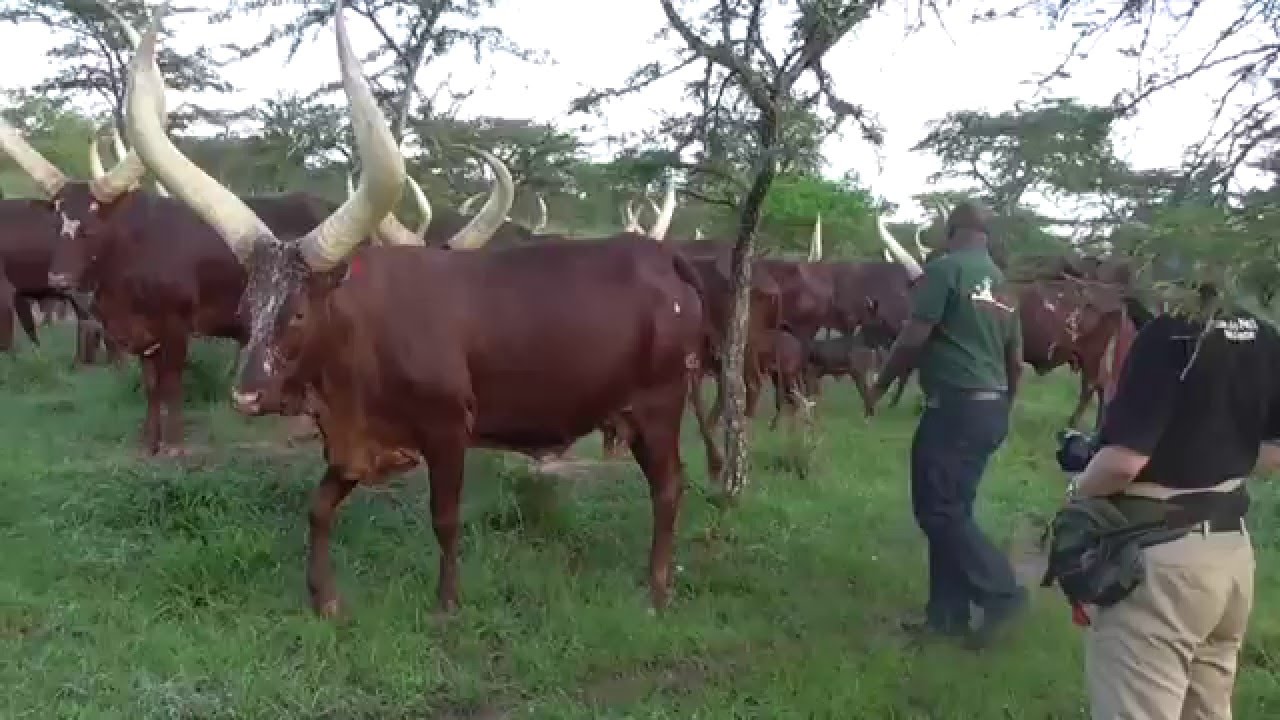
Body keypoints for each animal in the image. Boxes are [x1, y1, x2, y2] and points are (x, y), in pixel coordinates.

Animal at [126, 2, 718, 616]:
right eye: (248, 305)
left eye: (298, 312)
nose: (245, 395)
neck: (360, 337)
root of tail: (661, 257)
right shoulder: (354, 443)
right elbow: (318, 508)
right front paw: (324, 598)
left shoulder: (448, 430)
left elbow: (445, 518)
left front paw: (447, 605)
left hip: (658, 407)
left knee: (668, 487)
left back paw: (656, 589)